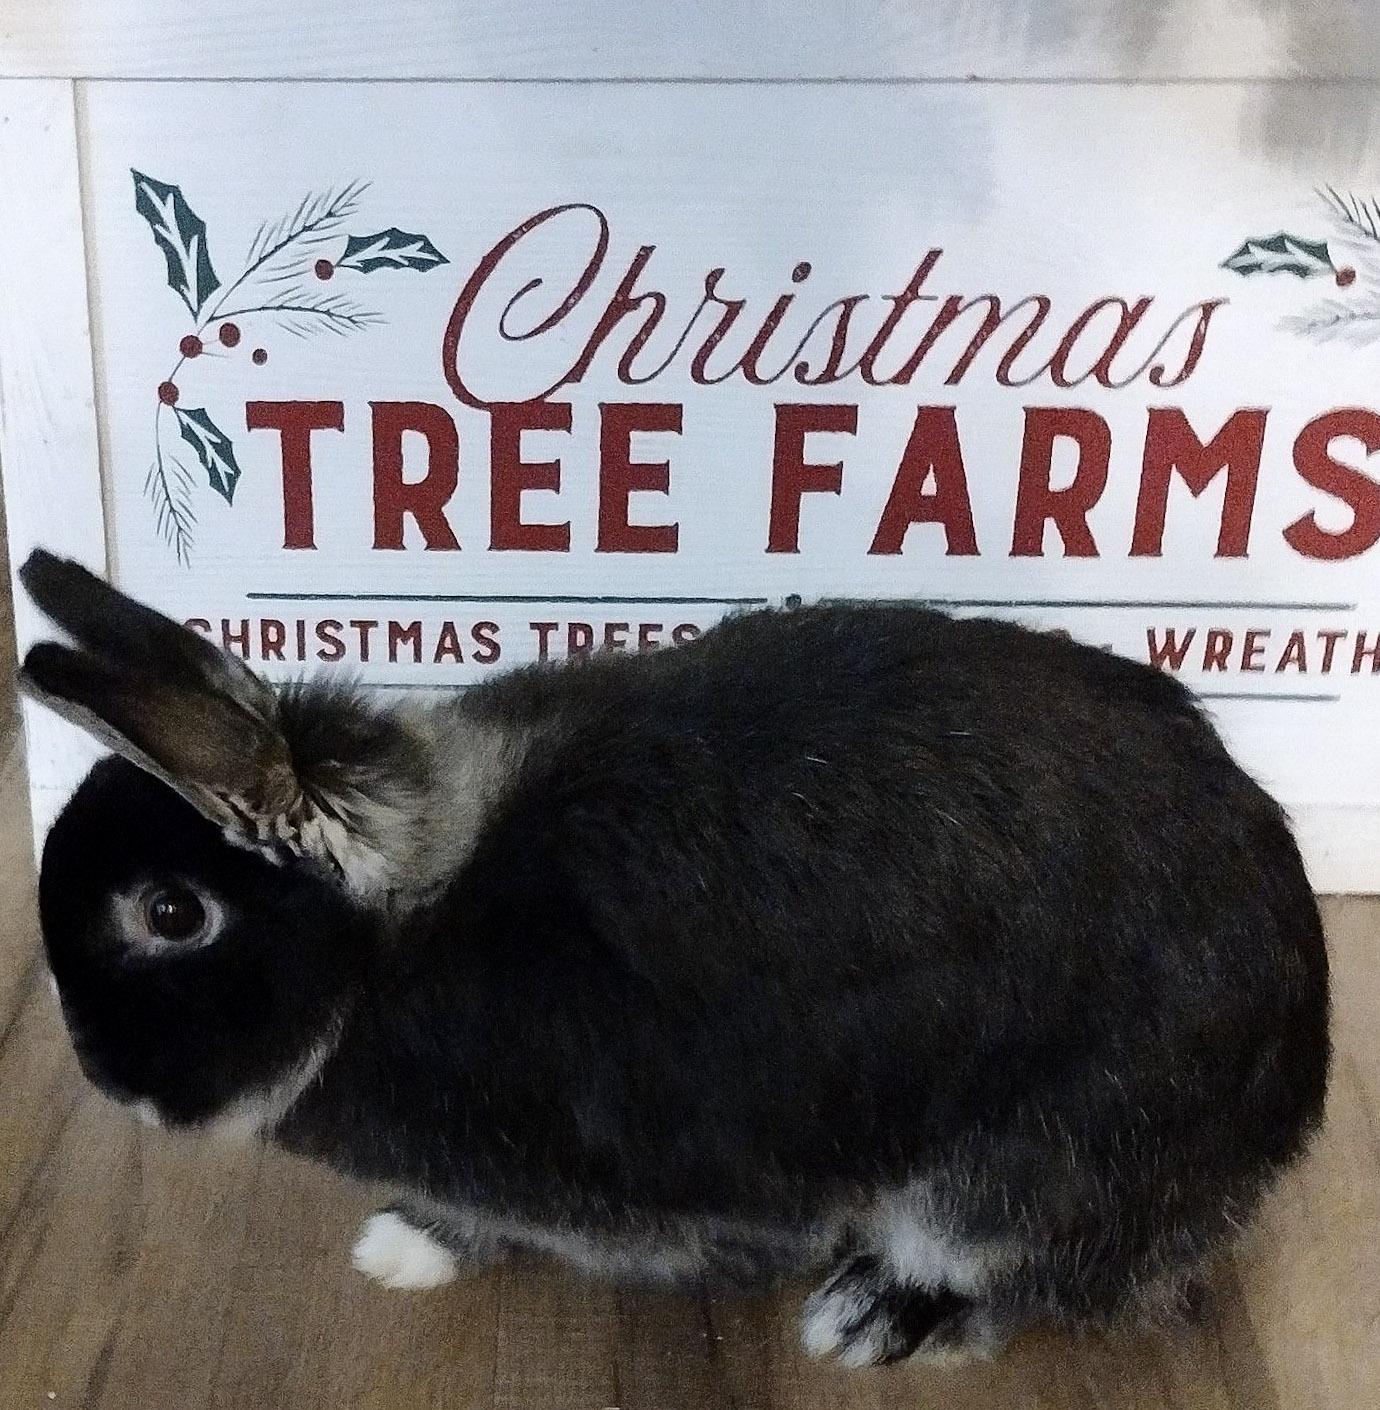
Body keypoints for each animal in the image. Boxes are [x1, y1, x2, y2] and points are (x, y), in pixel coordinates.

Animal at [19, 548, 1328, 1368]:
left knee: (1026, 1273)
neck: (391, 950)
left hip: (1039, 1167)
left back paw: (871, 1319)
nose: (101, 1077)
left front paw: (410, 1249)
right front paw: (405, 1243)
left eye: (172, 914)